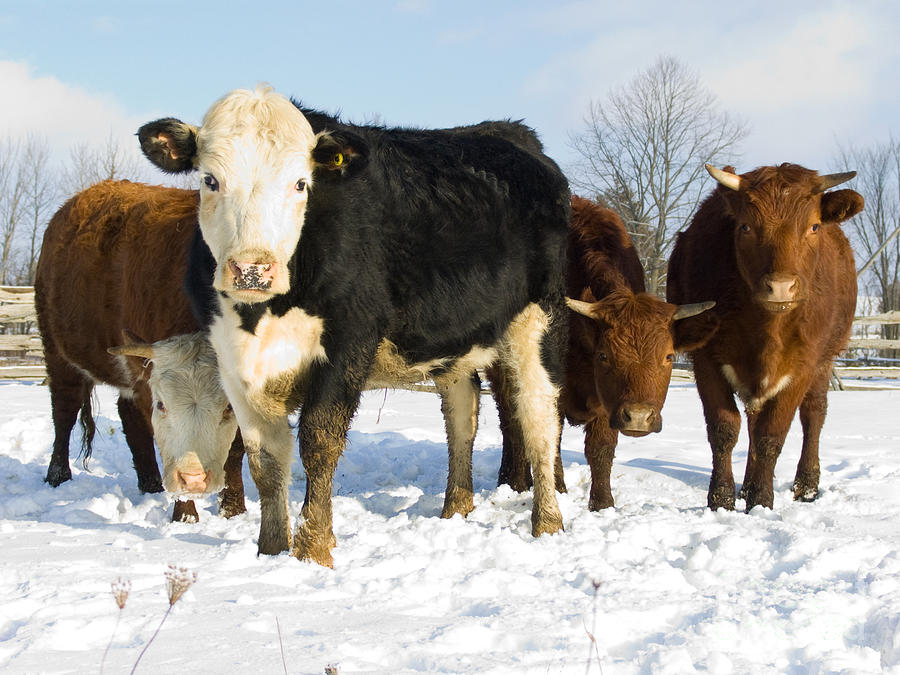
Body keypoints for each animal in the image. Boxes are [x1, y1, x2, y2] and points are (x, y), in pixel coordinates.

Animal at [35, 181, 246, 524]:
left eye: (227, 408)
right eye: (162, 405)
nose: (193, 479)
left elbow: (237, 447)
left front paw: (233, 511)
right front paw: (185, 516)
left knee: (129, 415)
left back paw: (150, 486)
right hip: (58, 353)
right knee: (64, 410)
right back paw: (58, 477)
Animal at [139, 87, 568, 568]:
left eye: (301, 183)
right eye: (210, 180)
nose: (252, 270)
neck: (262, 317)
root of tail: (510, 132)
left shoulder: (349, 343)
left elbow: (319, 441)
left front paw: (313, 551)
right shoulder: (233, 360)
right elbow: (264, 460)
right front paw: (270, 551)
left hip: (538, 319)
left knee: (538, 413)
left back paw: (547, 523)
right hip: (454, 342)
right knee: (462, 412)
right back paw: (455, 510)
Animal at [492, 193, 716, 510]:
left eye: (669, 356)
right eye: (604, 355)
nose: (638, 416)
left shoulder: (605, 403)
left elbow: (601, 448)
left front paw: (602, 503)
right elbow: (551, 438)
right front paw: (558, 491)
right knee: (511, 425)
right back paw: (513, 482)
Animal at [668, 165, 864, 512]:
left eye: (814, 226)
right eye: (745, 226)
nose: (781, 286)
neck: (766, 329)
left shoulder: (803, 365)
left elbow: (772, 434)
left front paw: (761, 501)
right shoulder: (705, 358)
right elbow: (724, 428)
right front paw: (722, 500)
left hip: (825, 361)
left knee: (813, 414)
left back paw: (806, 487)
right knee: (753, 418)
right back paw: (746, 487)